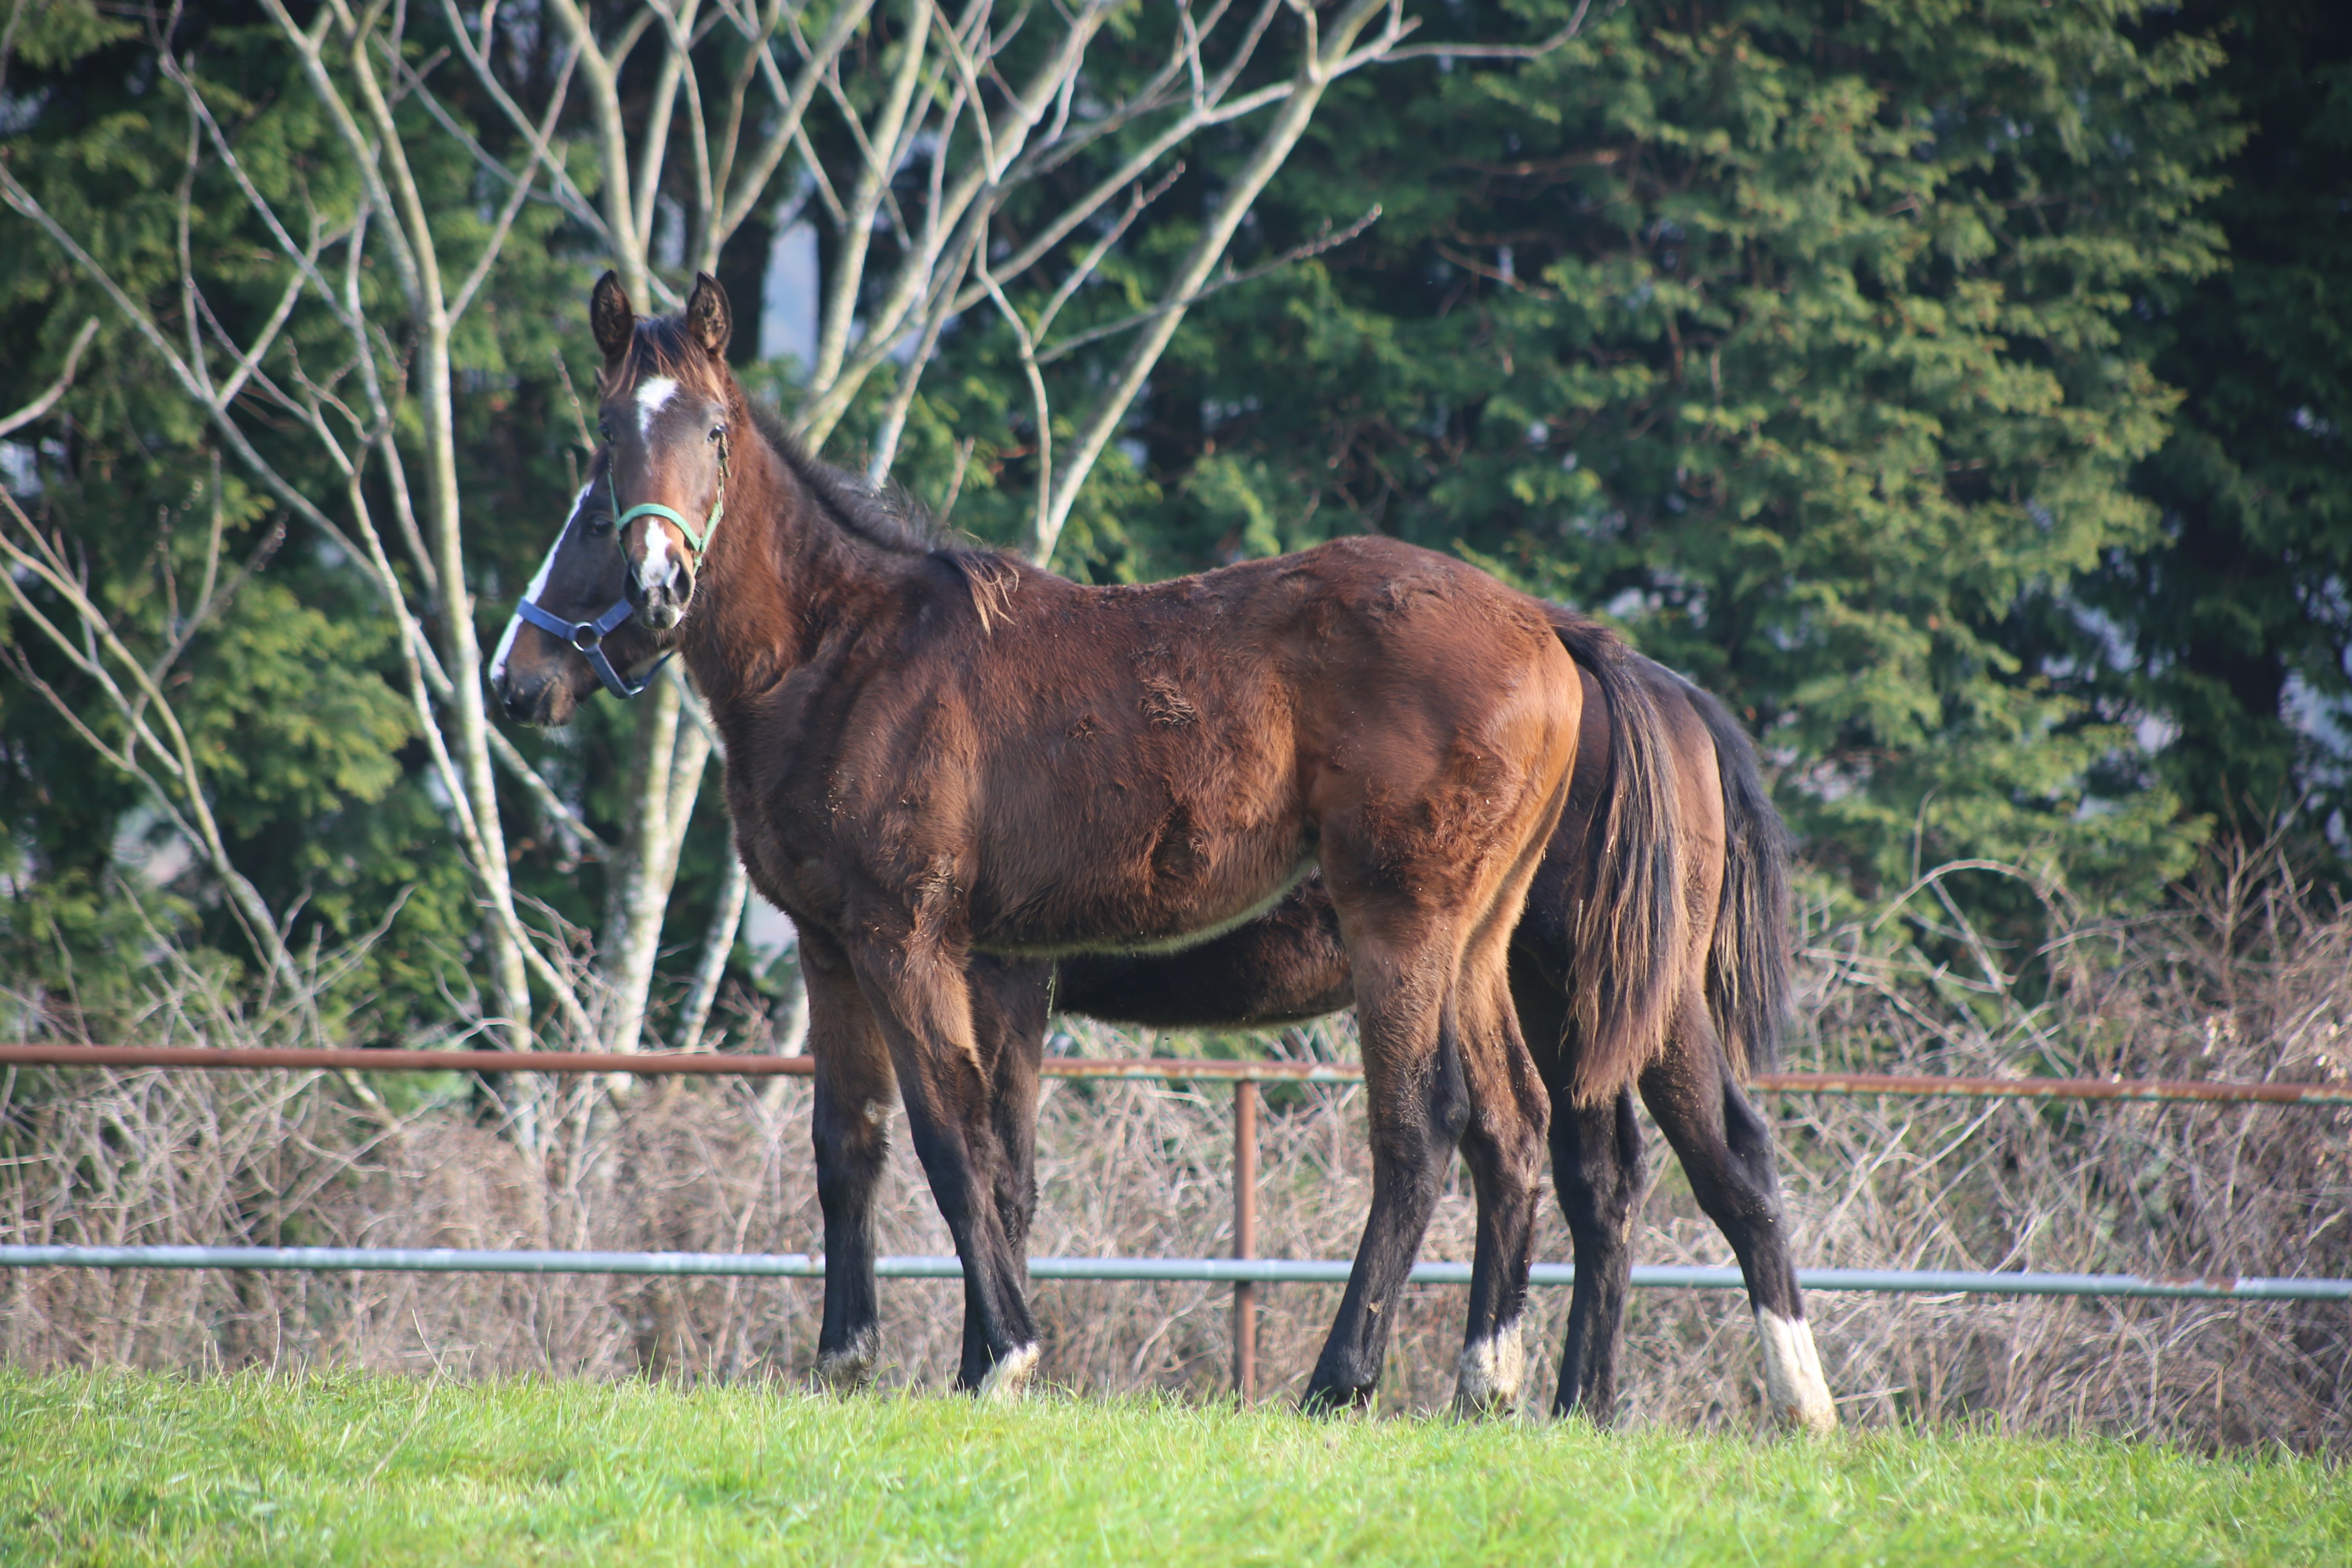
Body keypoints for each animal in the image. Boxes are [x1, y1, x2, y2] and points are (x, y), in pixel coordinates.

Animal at [501, 288, 1834, 1429]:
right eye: (603, 446)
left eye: (713, 431)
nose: (530, 670)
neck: (851, 656)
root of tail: (1559, 634)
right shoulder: (851, 952)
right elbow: (863, 1148)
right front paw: (851, 1359)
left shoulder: (918, 943)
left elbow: (951, 1139)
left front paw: (1002, 1357)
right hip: (1494, 951)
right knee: (1546, 1139)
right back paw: (1522, 1387)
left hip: (1429, 936)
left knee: (1450, 1132)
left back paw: (1357, 1378)